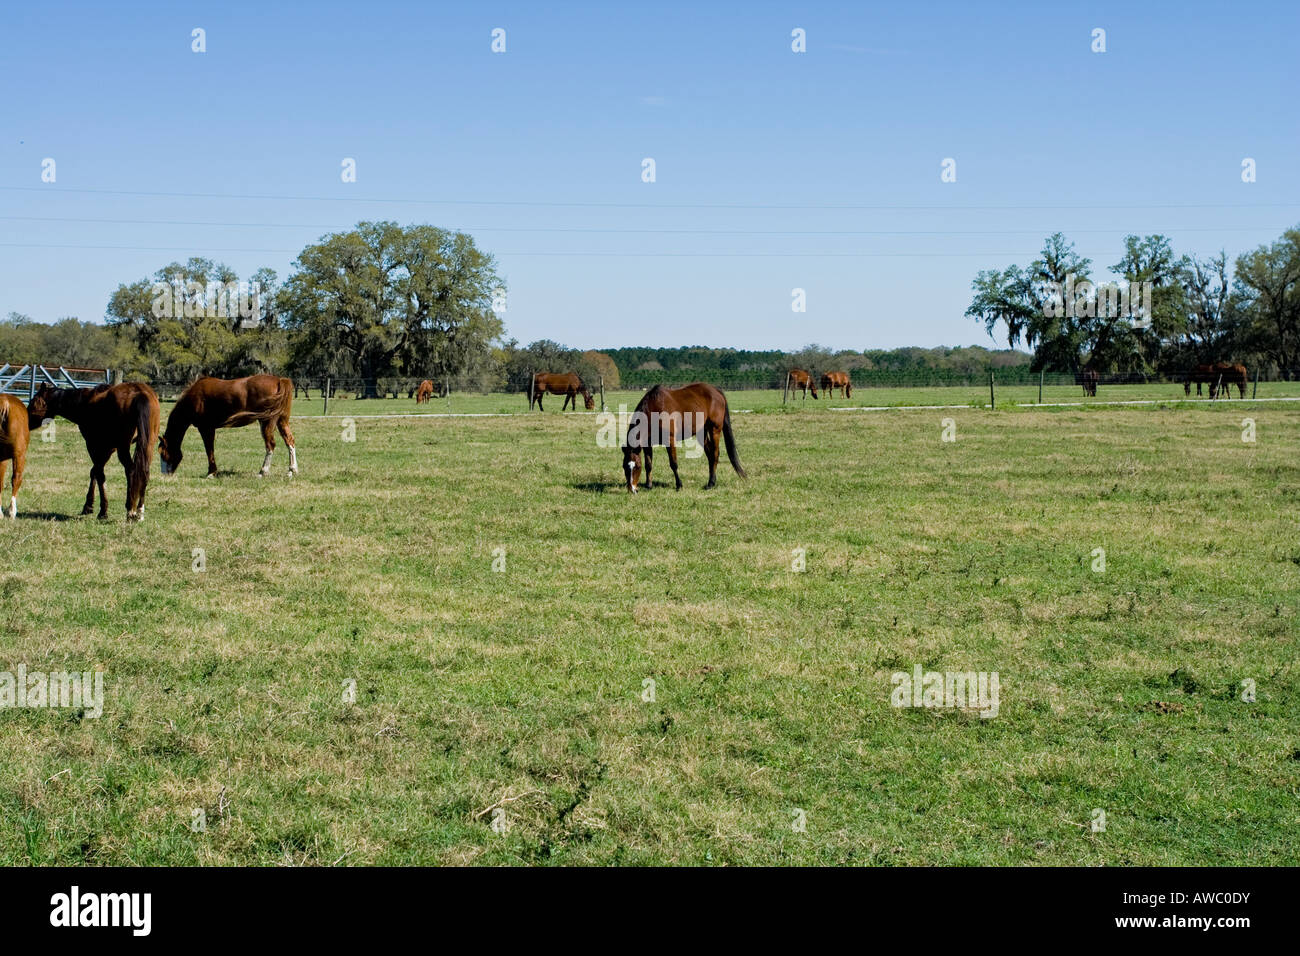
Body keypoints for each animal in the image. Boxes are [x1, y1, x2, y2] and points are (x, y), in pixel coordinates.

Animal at [26, 379, 159, 520]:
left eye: (33, 402)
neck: (85, 402)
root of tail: (138, 391)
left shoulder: (93, 445)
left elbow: (99, 474)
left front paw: (102, 511)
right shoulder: (108, 448)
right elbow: (95, 471)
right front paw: (89, 506)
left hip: (124, 448)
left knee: (131, 471)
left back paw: (130, 511)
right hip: (148, 445)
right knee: (144, 472)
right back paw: (139, 511)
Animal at [158, 374, 297, 478]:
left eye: (162, 452)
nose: (164, 474)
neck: (194, 397)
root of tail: (279, 380)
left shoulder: (206, 428)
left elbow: (209, 450)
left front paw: (211, 472)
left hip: (266, 422)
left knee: (270, 445)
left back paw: (263, 471)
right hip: (282, 421)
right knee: (289, 441)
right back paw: (292, 470)